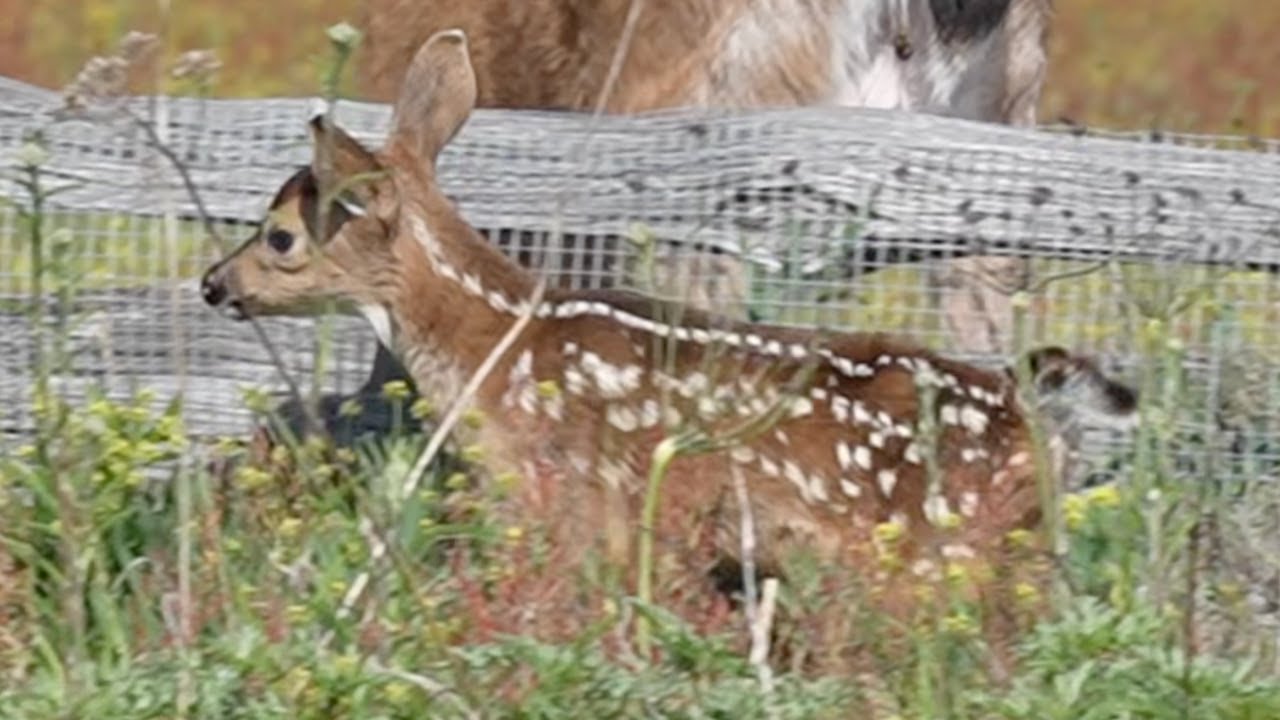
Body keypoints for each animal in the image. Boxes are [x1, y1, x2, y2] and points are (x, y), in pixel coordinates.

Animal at [202, 30, 1134, 673]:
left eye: (279, 235)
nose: (213, 284)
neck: (494, 348)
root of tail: (1033, 416)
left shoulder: (569, 505)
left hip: (937, 550)